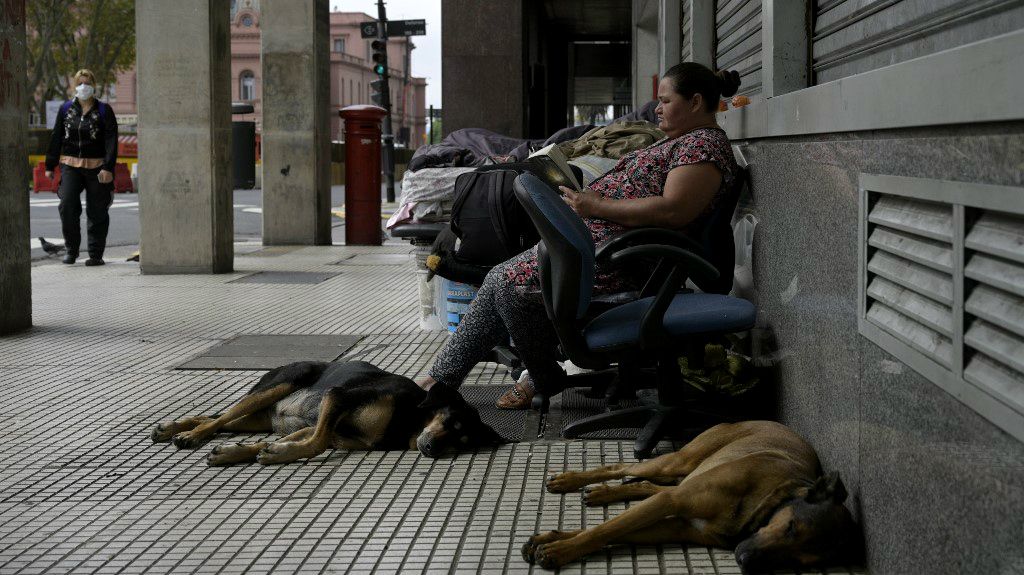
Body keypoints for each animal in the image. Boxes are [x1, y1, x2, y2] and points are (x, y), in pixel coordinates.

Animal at [151, 358, 503, 460]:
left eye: (461, 443)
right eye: (451, 422)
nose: (431, 449)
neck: (408, 420)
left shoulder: (330, 429)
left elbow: (303, 440)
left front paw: (241, 453)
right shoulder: (337, 397)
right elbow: (316, 443)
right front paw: (275, 454)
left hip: (260, 417)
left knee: (221, 418)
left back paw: (174, 428)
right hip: (284, 382)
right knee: (221, 416)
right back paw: (189, 436)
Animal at [524, 419, 860, 568]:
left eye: (799, 560)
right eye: (791, 527)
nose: (745, 559)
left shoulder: (676, 526)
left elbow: (613, 531)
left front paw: (552, 540)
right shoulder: (672, 502)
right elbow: (605, 529)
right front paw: (559, 550)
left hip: (681, 473)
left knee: (647, 484)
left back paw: (604, 494)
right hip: (680, 460)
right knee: (623, 466)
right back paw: (571, 480)